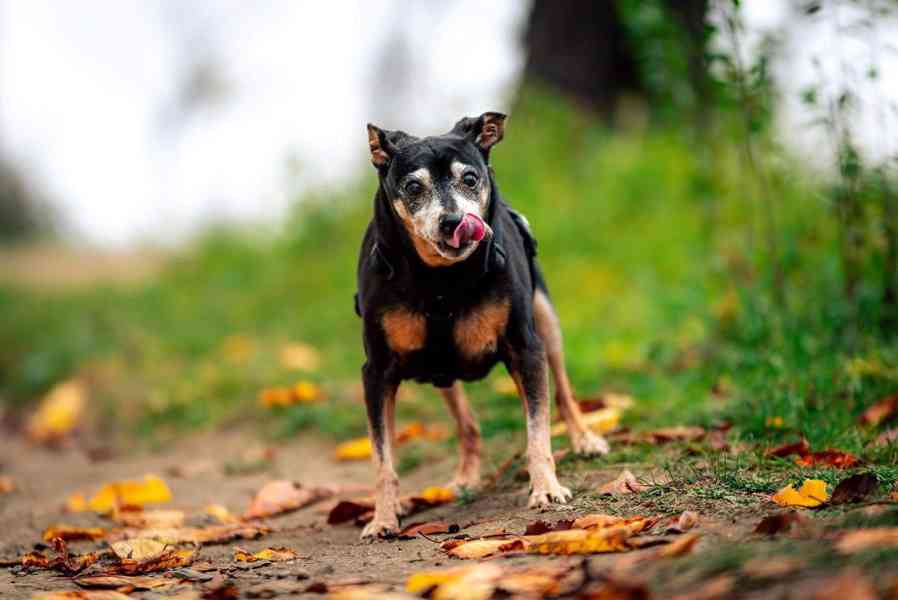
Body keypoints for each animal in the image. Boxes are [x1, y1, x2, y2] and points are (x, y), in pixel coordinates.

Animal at [354, 112, 604, 540]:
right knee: (467, 424)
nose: (453, 221)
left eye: (470, 178)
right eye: (413, 187)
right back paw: (464, 479)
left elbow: (537, 430)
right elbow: (382, 457)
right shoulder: (377, 372)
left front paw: (547, 490)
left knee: (563, 392)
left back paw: (584, 440)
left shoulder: (525, 348)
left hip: (545, 320)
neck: (440, 280)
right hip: (438, 371)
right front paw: (383, 518)